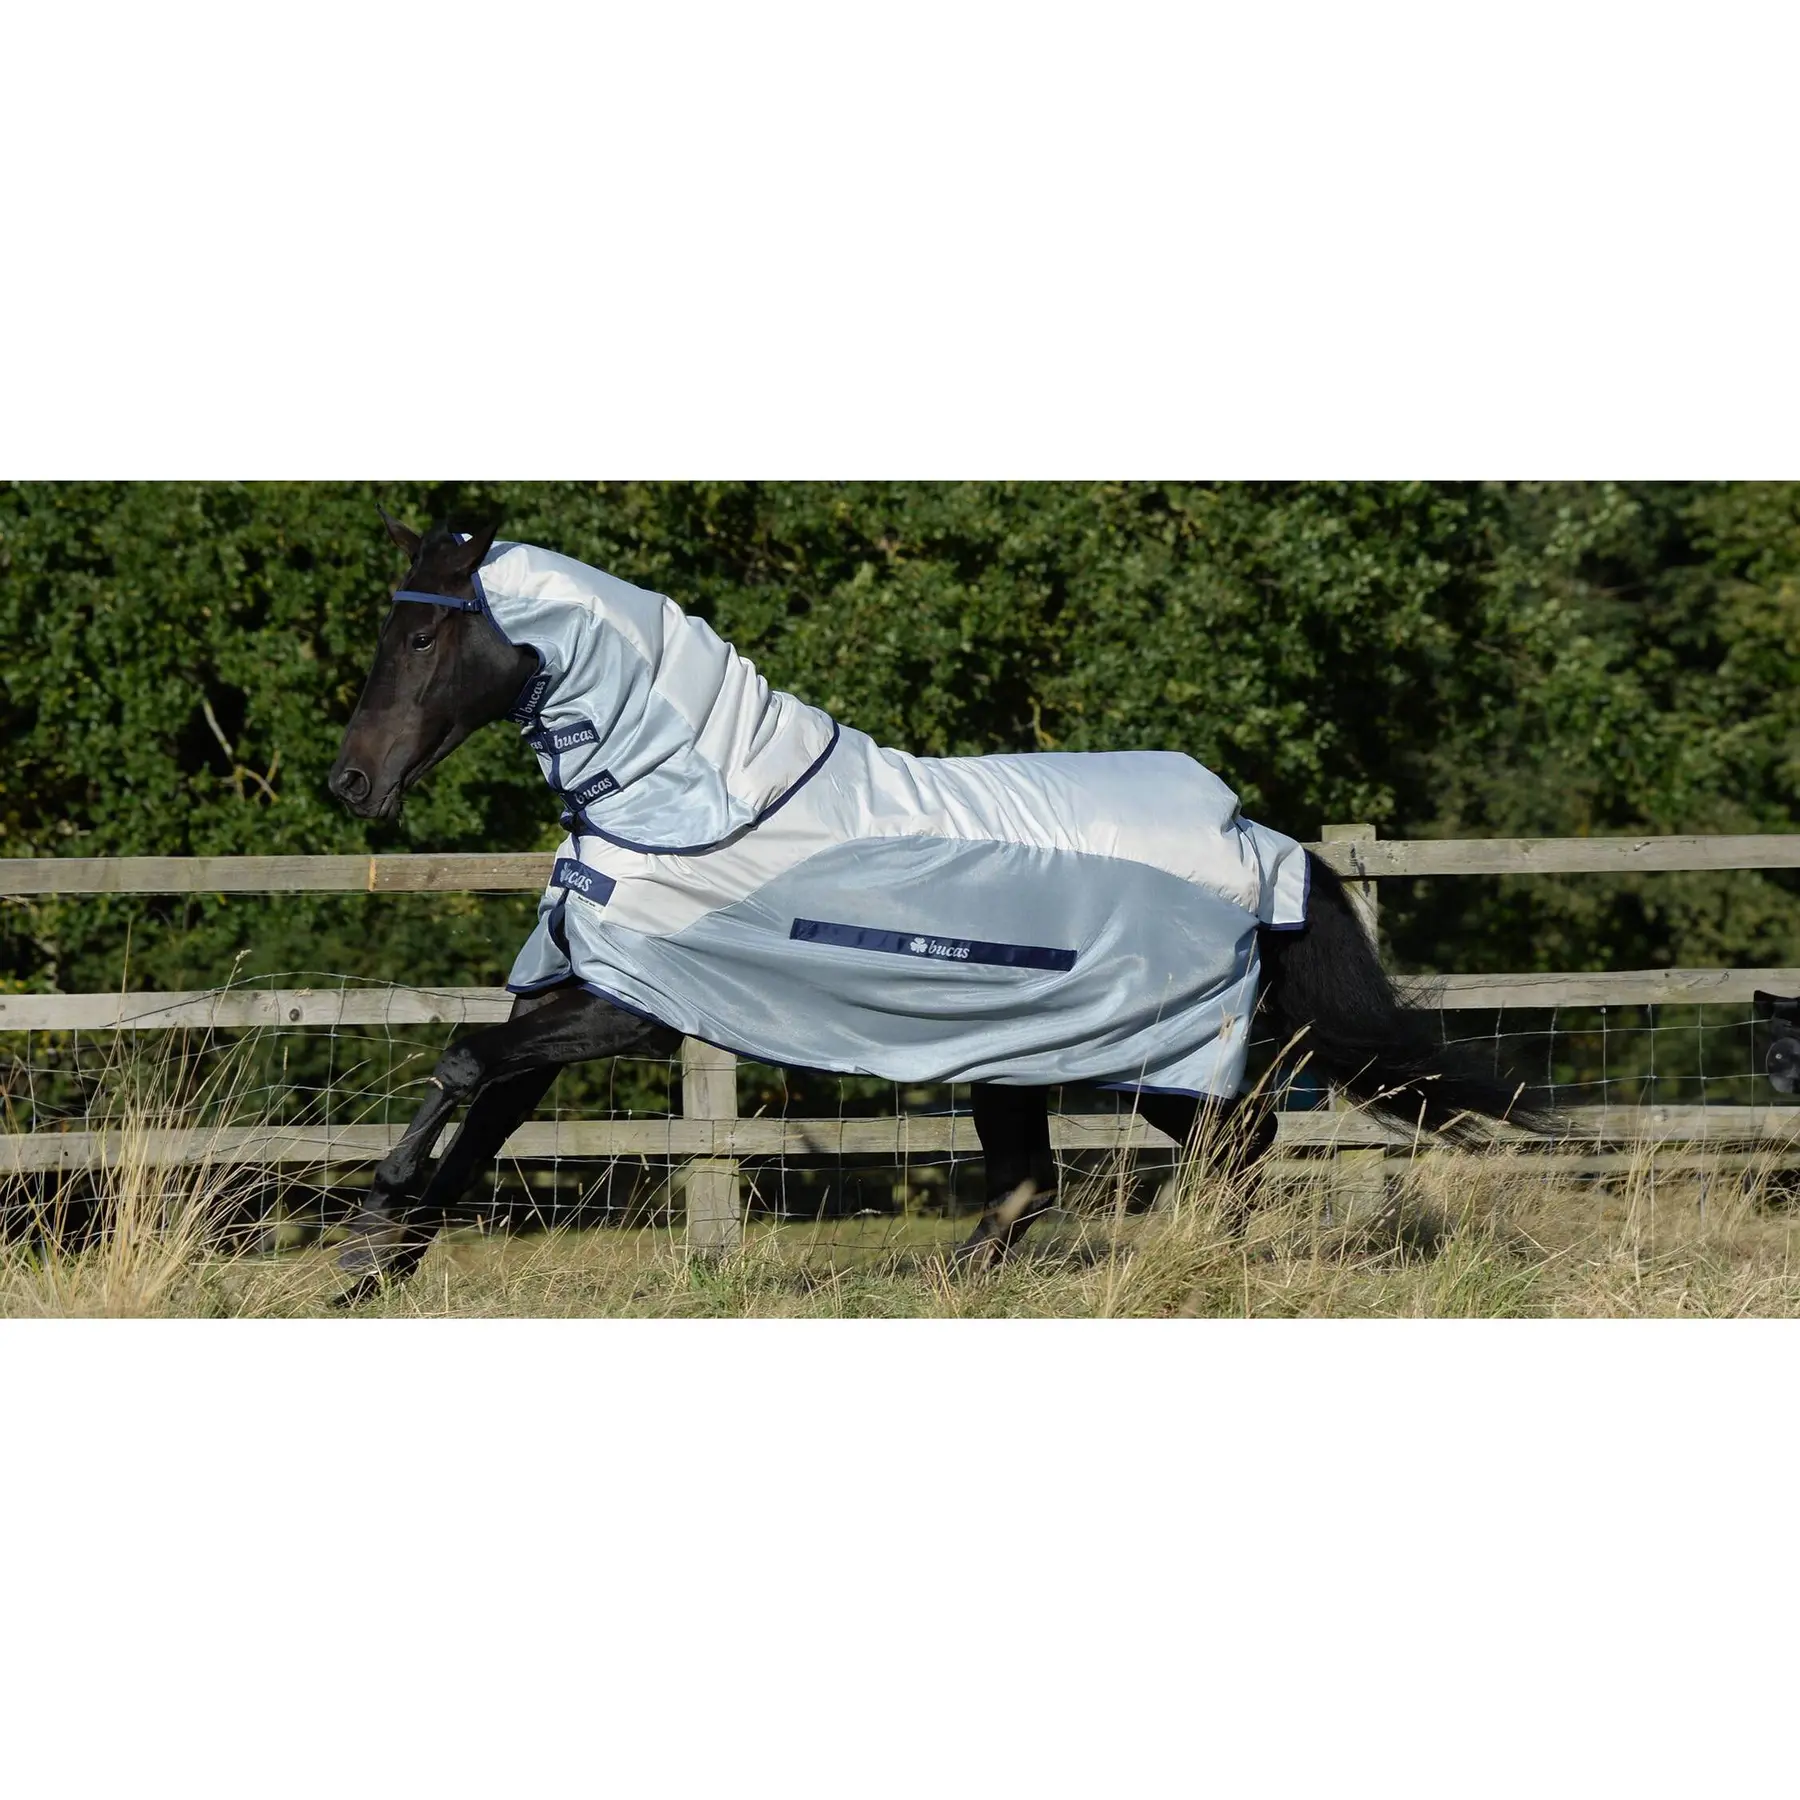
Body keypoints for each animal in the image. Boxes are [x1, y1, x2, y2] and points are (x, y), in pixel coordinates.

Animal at [325, 514, 1535, 1298]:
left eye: (423, 637)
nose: (352, 783)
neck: (699, 803)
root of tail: (1260, 839)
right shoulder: (574, 994)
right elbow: (488, 1105)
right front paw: (379, 1264)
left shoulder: (635, 1011)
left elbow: (463, 1066)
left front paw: (372, 1218)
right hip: (1045, 1052)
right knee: (1081, 1171)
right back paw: (993, 1270)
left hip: (1147, 1051)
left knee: (1229, 1140)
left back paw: (1178, 1259)